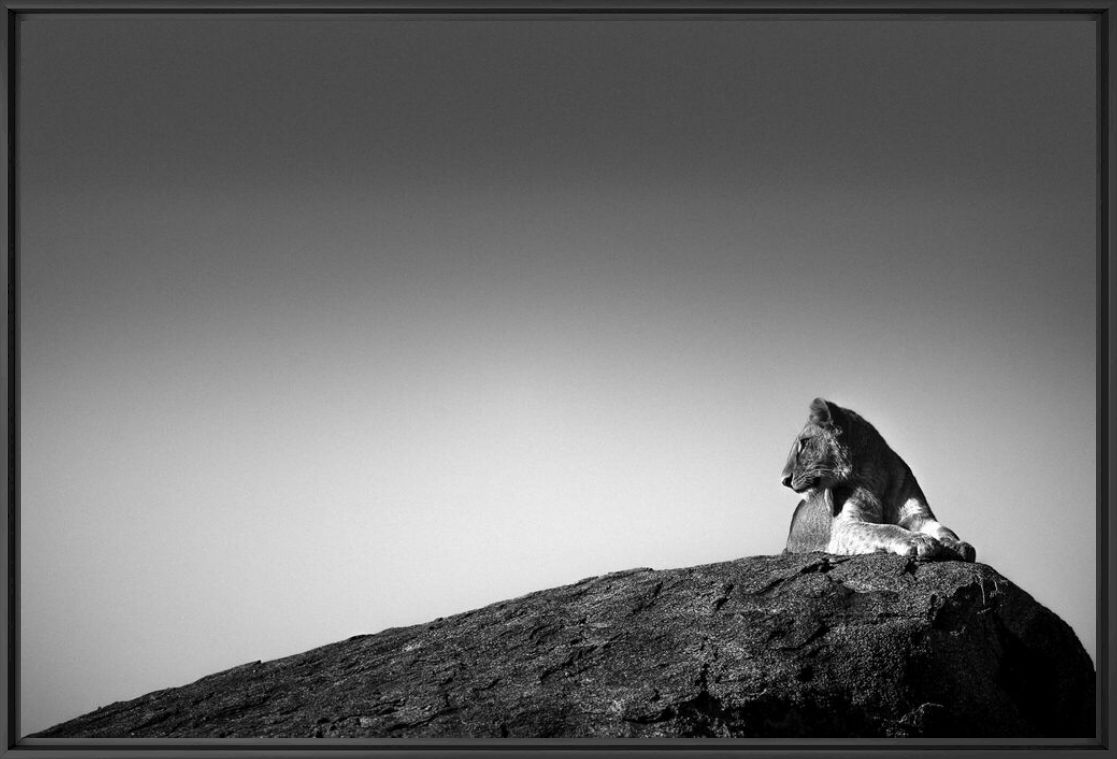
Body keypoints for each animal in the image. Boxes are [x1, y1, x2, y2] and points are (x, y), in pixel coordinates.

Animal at [781, 400, 974, 561]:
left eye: (804, 443)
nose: (784, 480)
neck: (876, 480)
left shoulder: (919, 517)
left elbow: (945, 529)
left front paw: (957, 544)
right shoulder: (843, 528)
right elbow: (883, 528)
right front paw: (918, 540)